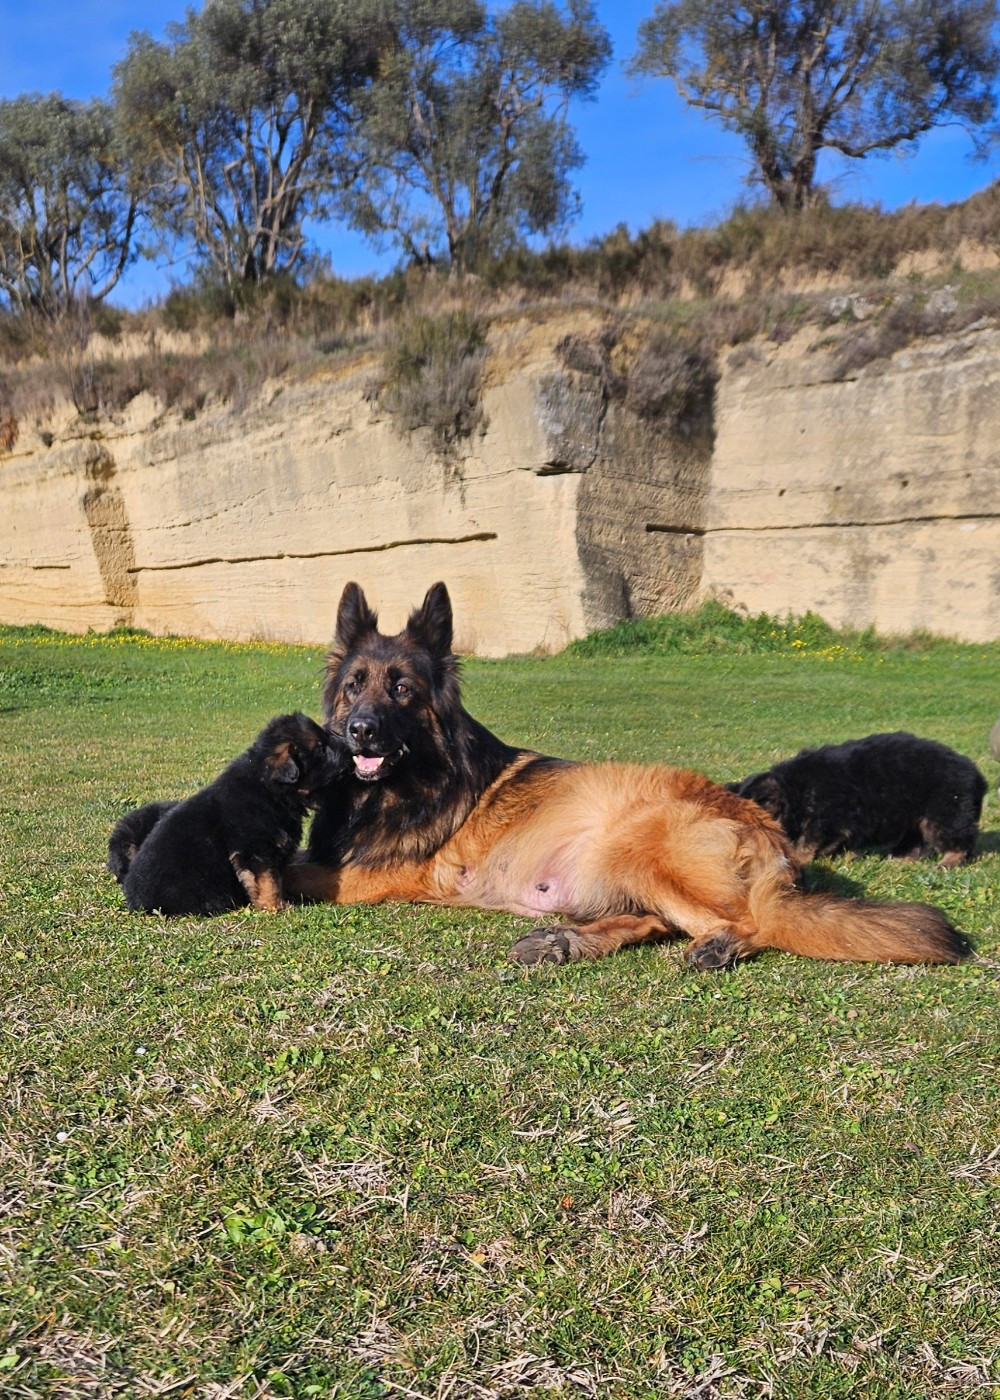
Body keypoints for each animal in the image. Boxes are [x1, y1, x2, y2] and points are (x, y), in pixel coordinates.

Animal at [110, 713, 349, 916]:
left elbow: (277, 879)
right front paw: (275, 907)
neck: (268, 788)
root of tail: (134, 900)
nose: (348, 747)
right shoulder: (256, 851)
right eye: (321, 749)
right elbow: (268, 882)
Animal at [729, 733, 986, 867]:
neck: (797, 791)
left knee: (959, 838)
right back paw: (902, 858)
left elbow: (808, 841)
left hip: (944, 811)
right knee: (917, 841)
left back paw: (949, 861)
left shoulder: (828, 818)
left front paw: (799, 858)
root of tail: (976, 775)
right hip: (915, 816)